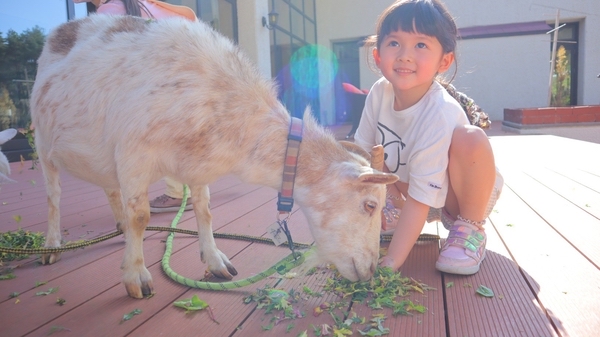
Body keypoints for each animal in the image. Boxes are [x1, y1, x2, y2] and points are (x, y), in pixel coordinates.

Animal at [31, 15, 398, 298]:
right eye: (370, 205)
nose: (370, 270)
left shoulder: (195, 167)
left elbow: (205, 211)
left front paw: (216, 262)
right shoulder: (134, 154)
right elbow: (141, 217)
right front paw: (136, 277)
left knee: (108, 187)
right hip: (42, 143)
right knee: (53, 196)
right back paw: (52, 244)